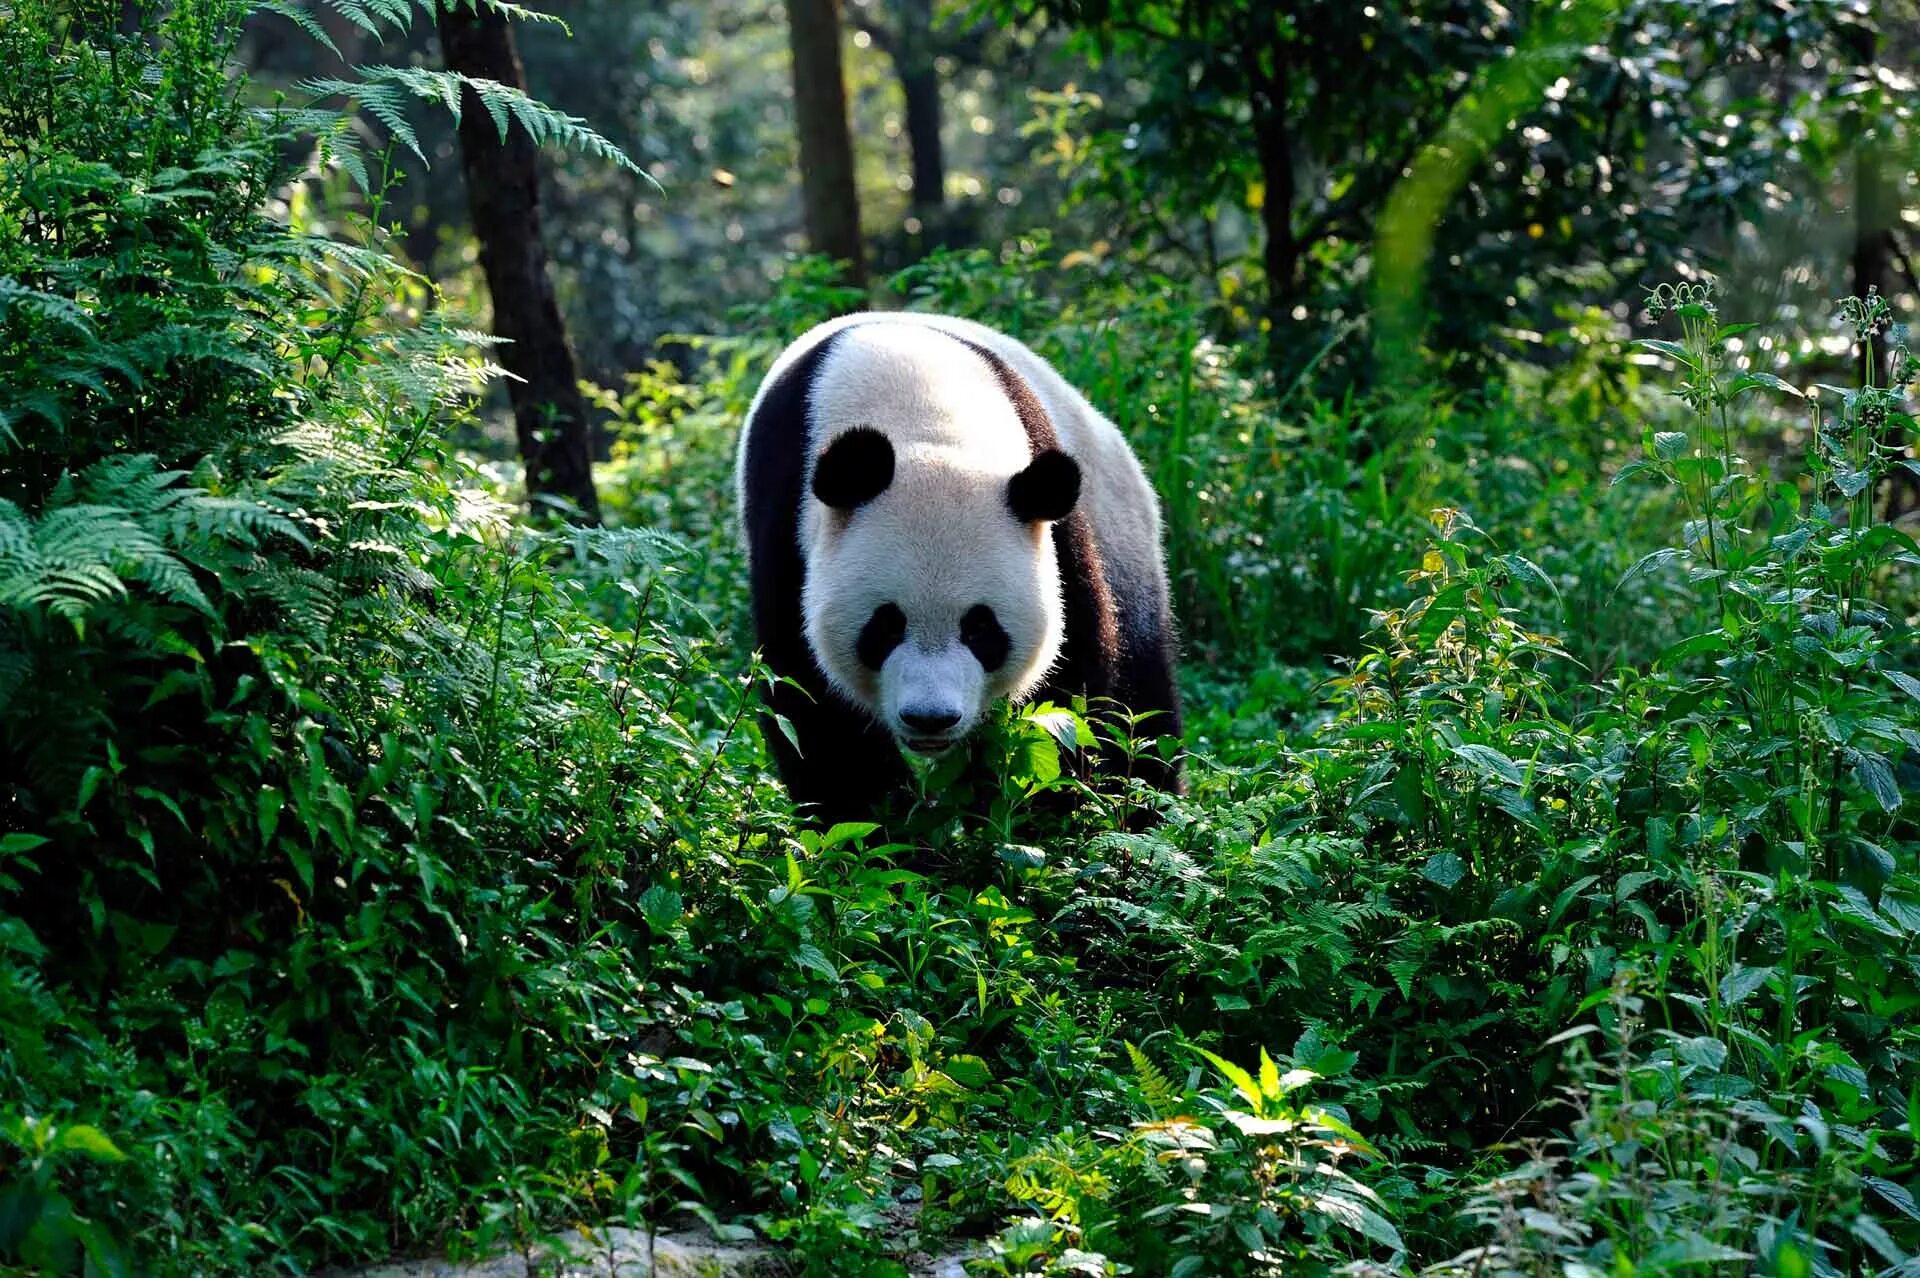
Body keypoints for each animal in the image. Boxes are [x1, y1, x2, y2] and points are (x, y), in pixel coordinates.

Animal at [737, 312, 1175, 821]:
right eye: (885, 626)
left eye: (981, 628)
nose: (930, 719)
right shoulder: (788, 524)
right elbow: (812, 703)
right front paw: (886, 825)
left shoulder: (1055, 526)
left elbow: (1068, 686)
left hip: (1122, 537)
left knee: (1142, 703)